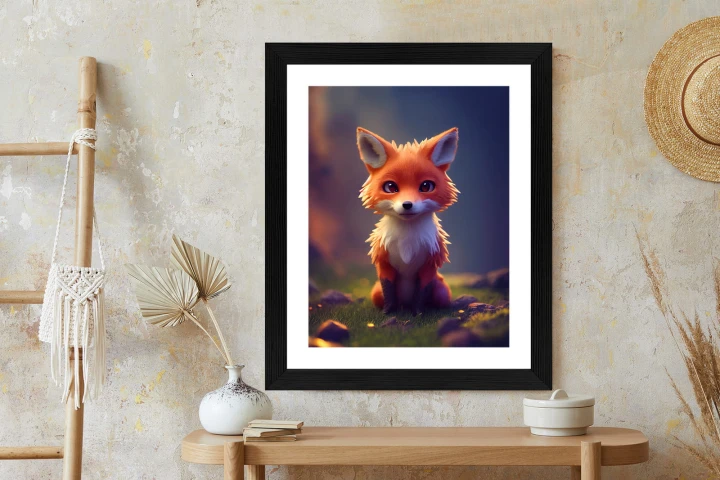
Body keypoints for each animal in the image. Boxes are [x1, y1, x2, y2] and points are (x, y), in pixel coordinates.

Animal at [357, 126, 460, 315]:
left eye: (426, 186)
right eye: (390, 187)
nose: (407, 204)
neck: (407, 241)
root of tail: (404, 303)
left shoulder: (429, 265)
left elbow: (421, 295)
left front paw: (418, 314)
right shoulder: (384, 263)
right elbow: (389, 292)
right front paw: (388, 313)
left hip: (442, 292)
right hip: (375, 293)